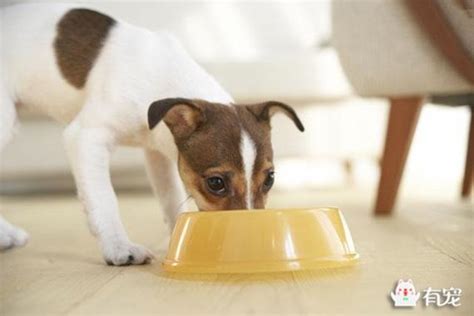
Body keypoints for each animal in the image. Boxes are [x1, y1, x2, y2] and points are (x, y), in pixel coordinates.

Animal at [0, 3, 304, 266]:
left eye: (270, 179)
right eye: (216, 183)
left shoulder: (158, 154)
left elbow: (170, 198)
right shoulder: (85, 138)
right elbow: (104, 199)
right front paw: (119, 247)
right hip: (5, 122)